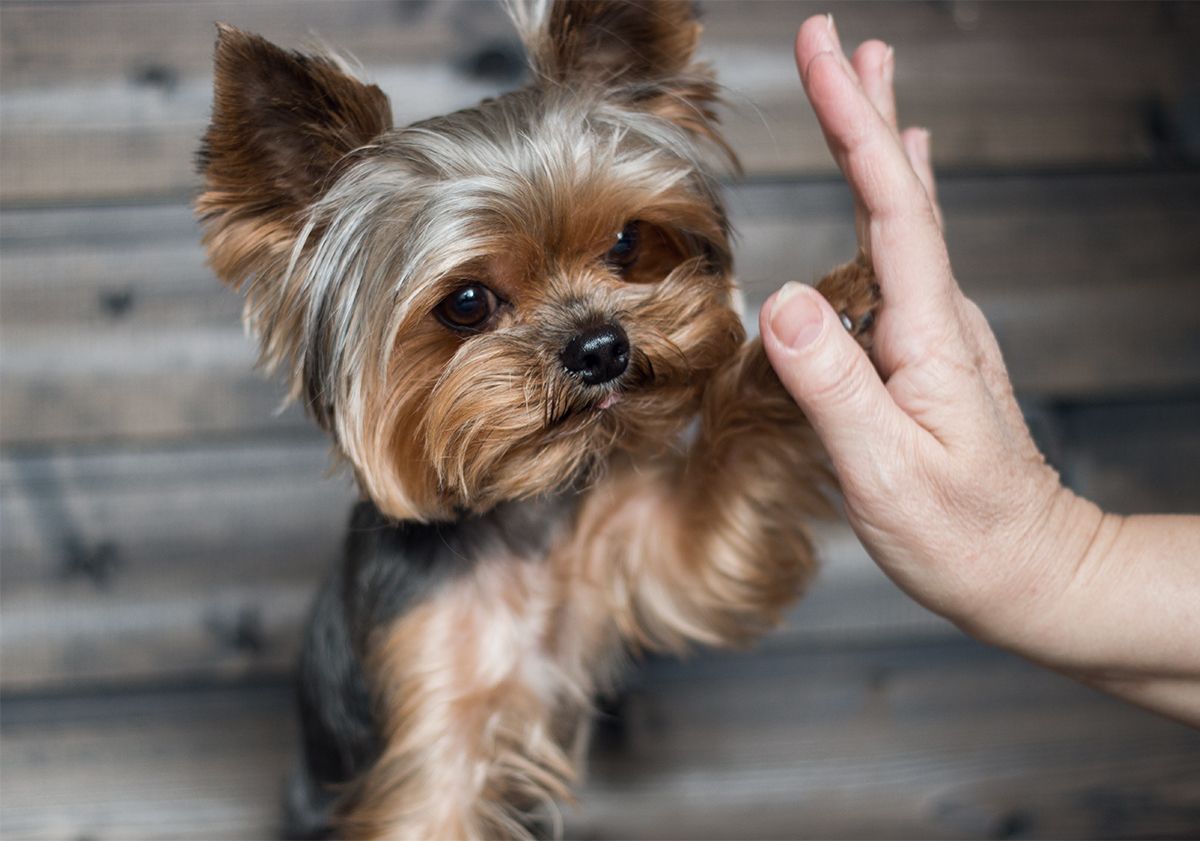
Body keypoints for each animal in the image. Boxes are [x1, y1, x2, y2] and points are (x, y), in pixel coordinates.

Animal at [194, 3, 873, 835]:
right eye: (466, 303)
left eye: (627, 241)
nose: (601, 346)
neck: (524, 518)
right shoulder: (434, 737)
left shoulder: (649, 554)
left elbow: (716, 496)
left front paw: (828, 314)